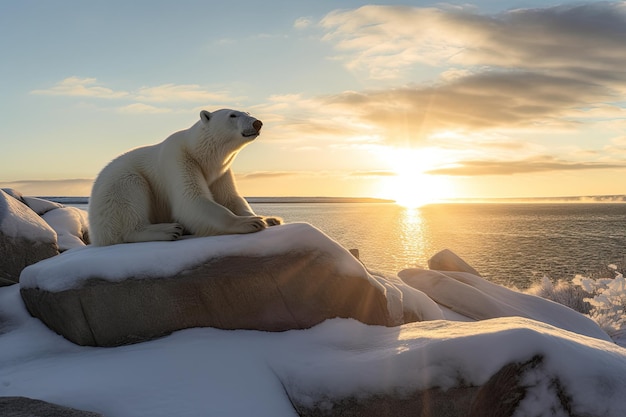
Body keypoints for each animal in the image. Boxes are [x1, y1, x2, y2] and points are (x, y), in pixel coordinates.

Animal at [88, 110, 282, 245]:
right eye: (232, 115)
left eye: (247, 113)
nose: (257, 123)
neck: (200, 153)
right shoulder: (179, 159)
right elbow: (191, 200)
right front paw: (251, 222)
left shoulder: (220, 172)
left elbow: (231, 198)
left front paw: (269, 218)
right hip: (117, 184)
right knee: (129, 197)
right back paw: (168, 230)